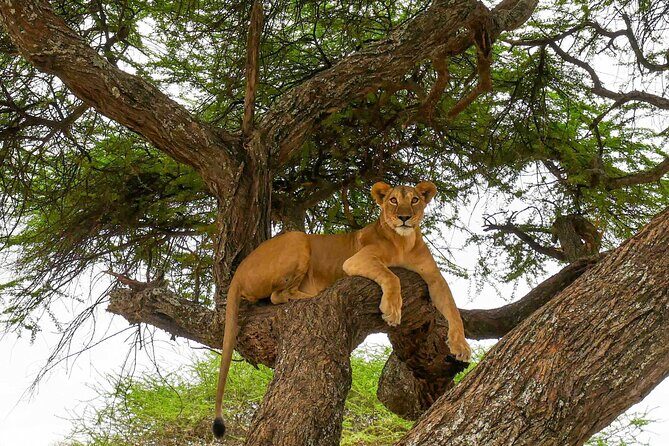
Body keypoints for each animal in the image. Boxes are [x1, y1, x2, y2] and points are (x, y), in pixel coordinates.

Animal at [212, 181, 471, 438]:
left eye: (415, 199)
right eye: (393, 200)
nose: (404, 217)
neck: (403, 242)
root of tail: (239, 270)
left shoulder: (435, 279)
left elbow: (452, 309)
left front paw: (460, 346)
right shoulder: (356, 261)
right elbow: (391, 276)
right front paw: (391, 309)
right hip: (298, 239)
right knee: (278, 295)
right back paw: (315, 294)